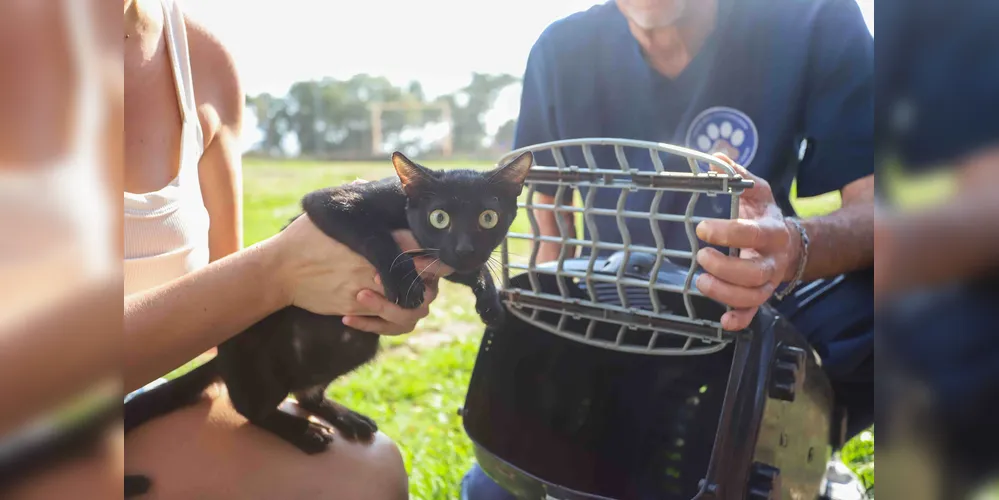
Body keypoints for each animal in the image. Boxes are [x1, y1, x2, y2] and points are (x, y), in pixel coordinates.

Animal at [122, 151, 536, 496]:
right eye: (440, 217)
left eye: (488, 218)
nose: (465, 247)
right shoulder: (331, 202)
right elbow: (375, 235)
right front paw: (404, 279)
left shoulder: (443, 260)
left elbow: (470, 270)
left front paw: (491, 301)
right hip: (258, 361)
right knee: (250, 411)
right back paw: (303, 433)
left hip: (357, 344)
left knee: (307, 393)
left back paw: (346, 419)